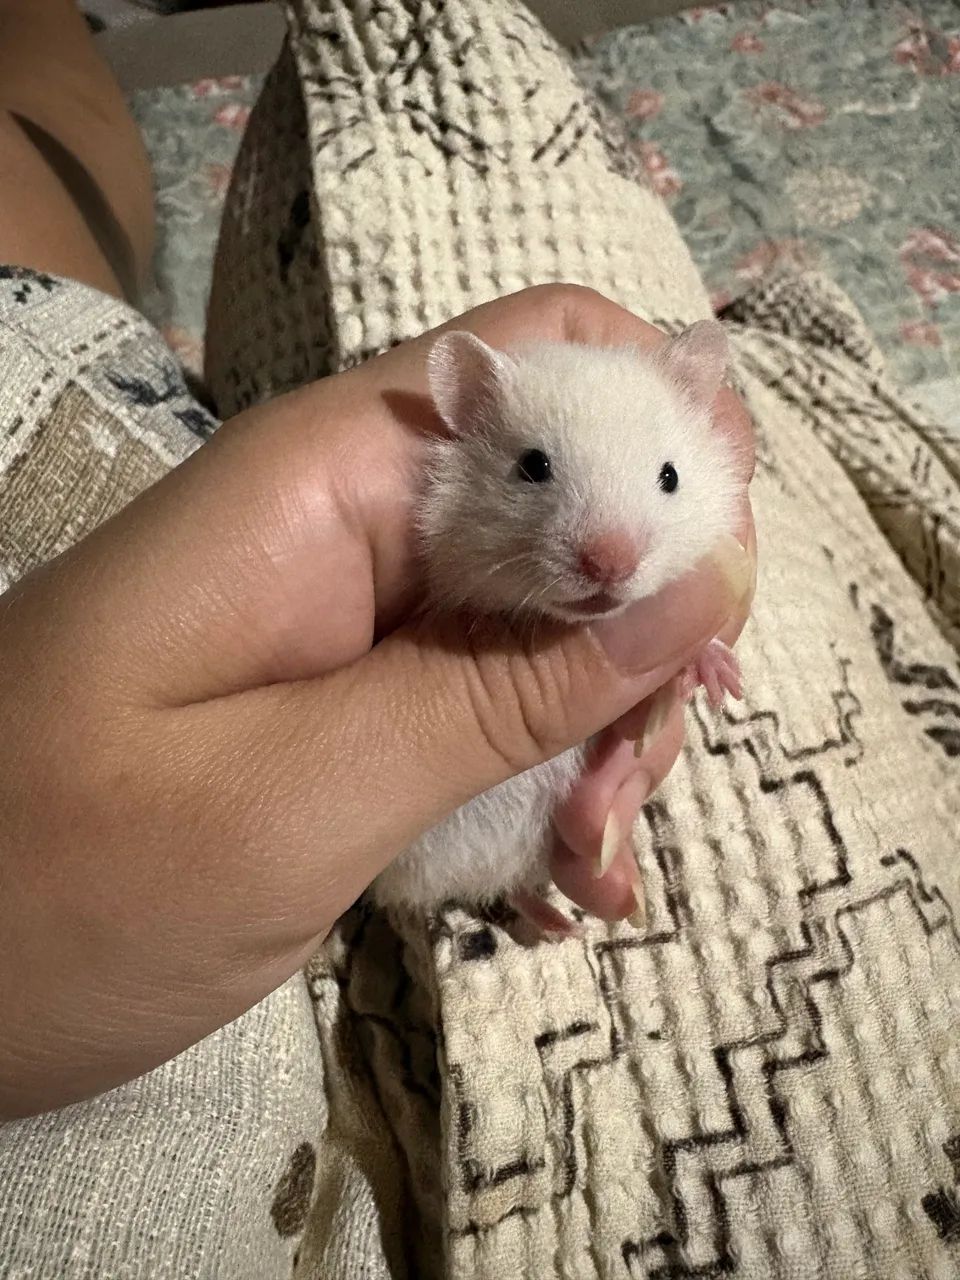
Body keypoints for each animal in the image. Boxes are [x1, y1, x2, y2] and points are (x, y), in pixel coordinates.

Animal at [371, 320, 744, 929]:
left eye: (670, 476)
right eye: (533, 466)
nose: (610, 564)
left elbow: (642, 721)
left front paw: (717, 679)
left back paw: (553, 922)